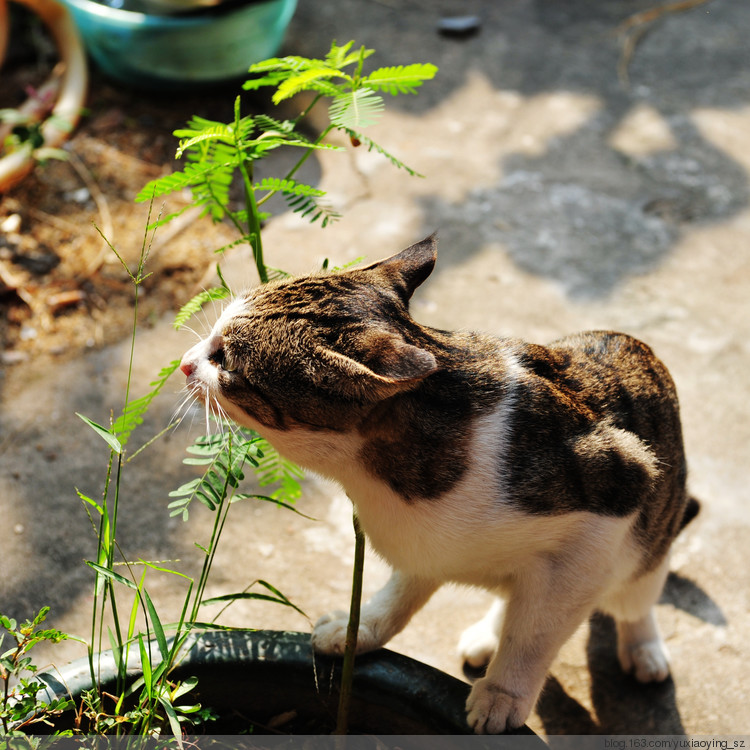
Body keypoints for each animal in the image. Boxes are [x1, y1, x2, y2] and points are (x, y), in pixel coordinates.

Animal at [179, 235, 696, 736]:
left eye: (225, 361)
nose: (184, 363)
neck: (371, 476)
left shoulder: (613, 492)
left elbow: (536, 631)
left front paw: (505, 692)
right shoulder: (422, 545)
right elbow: (406, 590)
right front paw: (360, 629)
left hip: (647, 541)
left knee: (629, 597)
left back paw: (641, 647)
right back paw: (489, 632)